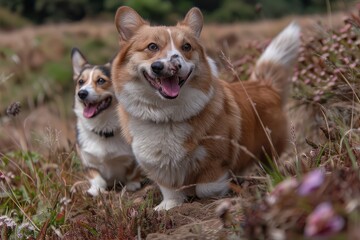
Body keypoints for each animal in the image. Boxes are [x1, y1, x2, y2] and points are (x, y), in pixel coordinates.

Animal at [71, 47, 141, 196]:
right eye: (81, 82)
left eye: (101, 80)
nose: (82, 93)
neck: (103, 128)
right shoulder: (87, 161)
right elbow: (97, 178)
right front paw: (95, 190)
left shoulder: (133, 158)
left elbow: (132, 172)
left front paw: (132, 185)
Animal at [111, 7, 300, 210]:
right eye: (152, 47)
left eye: (186, 47)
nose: (172, 64)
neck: (166, 114)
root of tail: (265, 85)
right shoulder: (159, 167)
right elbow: (170, 191)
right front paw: (169, 206)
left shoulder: (214, 161)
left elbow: (206, 188)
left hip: (267, 150)